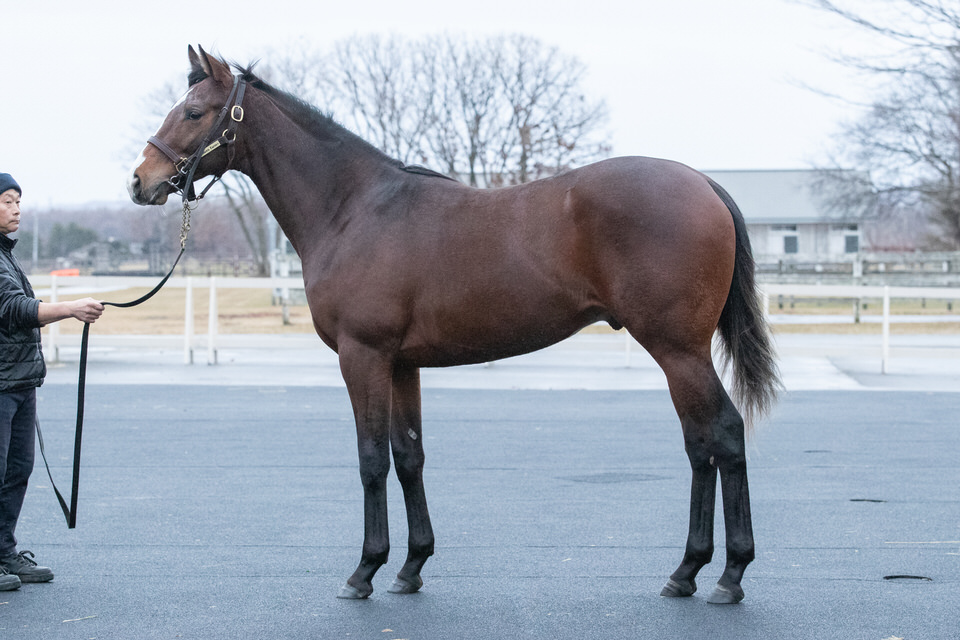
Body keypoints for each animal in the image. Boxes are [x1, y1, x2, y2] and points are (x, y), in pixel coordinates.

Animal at [128, 45, 780, 605]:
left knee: (723, 434)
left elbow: (371, 458)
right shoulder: (401, 364)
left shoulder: (362, 356)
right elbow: (409, 455)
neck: (354, 209)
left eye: (193, 111)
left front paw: (364, 571)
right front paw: (411, 567)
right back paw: (687, 572)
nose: (140, 181)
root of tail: (702, 183)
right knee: (699, 444)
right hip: (677, 355)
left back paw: (729, 575)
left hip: (677, 350)